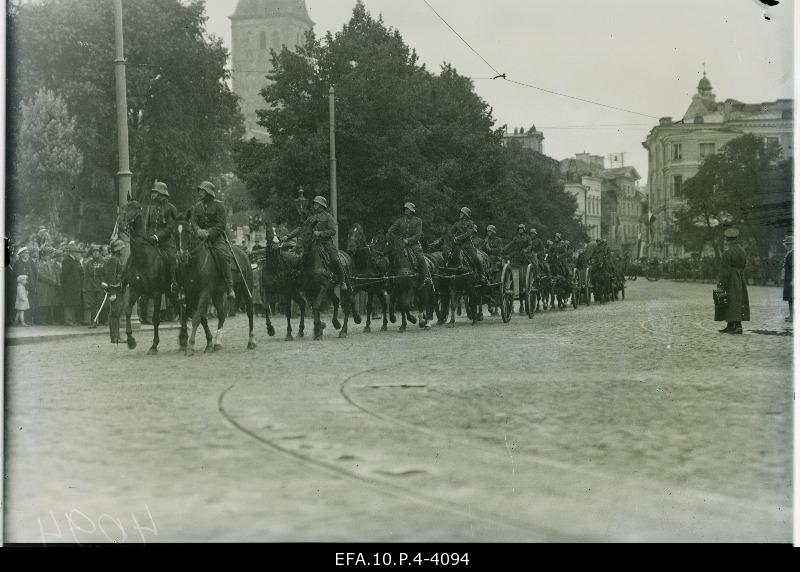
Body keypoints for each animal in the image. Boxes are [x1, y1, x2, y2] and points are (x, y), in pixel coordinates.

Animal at [117, 201, 178, 354]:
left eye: (135, 209)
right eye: (124, 207)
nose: (120, 224)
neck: (142, 259)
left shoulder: (156, 293)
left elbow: (156, 319)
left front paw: (154, 345)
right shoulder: (135, 289)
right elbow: (128, 310)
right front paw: (130, 341)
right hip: (170, 294)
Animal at [176, 218, 256, 354]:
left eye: (189, 232)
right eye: (176, 233)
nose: (182, 256)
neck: (196, 264)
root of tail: (244, 254)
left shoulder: (205, 292)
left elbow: (197, 318)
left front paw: (191, 345)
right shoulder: (191, 294)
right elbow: (201, 317)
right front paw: (208, 343)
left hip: (246, 288)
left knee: (250, 311)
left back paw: (251, 341)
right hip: (217, 293)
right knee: (222, 313)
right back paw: (217, 342)